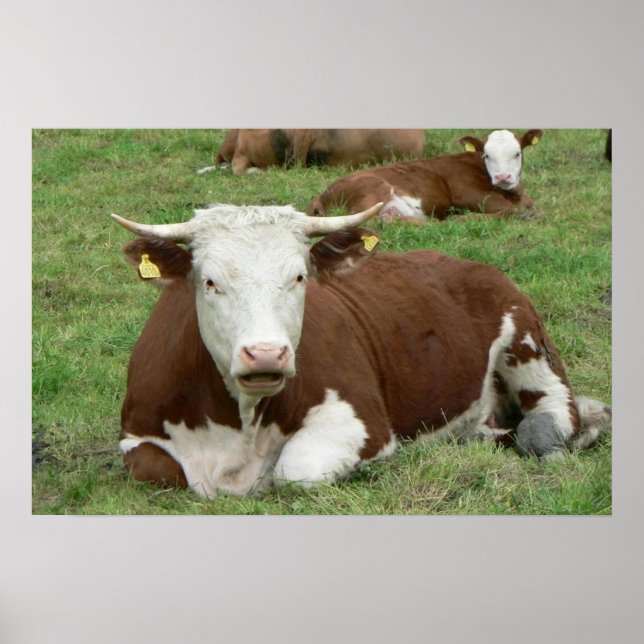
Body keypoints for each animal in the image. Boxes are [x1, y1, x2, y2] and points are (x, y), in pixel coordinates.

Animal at [111, 202, 611, 498]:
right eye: (211, 282)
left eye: (299, 277)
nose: (267, 354)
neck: (240, 423)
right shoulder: (137, 433)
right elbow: (158, 468)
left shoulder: (362, 420)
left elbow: (297, 470)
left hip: (529, 345)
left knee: (555, 414)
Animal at [307, 129, 543, 221]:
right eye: (487, 155)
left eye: (517, 153)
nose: (503, 177)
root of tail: (321, 195)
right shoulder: (467, 192)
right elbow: (511, 210)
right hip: (371, 190)